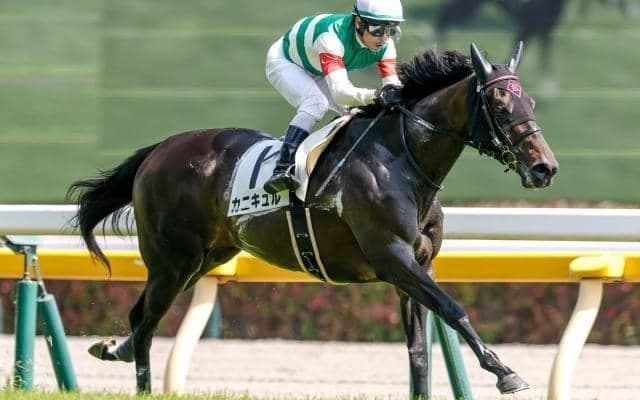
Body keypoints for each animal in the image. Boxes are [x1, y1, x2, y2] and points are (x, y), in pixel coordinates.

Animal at [67, 42, 558, 396]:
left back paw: (114, 349)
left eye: (531, 102)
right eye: (499, 102)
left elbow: (420, 350)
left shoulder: (419, 265)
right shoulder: (393, 258)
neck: (400, 159)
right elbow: (455, 310)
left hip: (206, 257)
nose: (544, 168)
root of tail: (159, 150)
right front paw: (506, 372)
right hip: (173, 261)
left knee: (141, 318)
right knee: (147, 322)